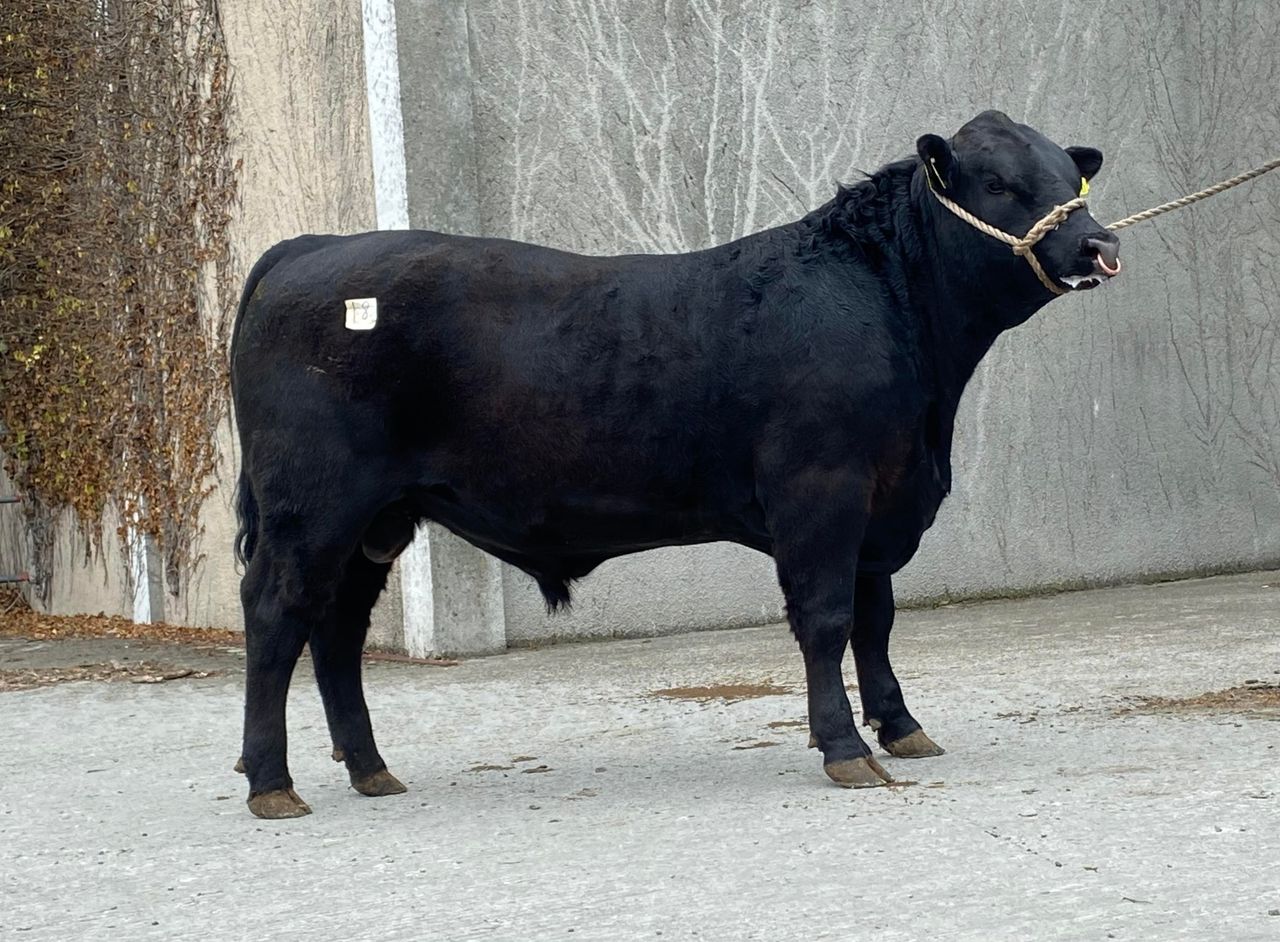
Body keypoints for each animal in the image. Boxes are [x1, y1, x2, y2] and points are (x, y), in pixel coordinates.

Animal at [230, 110, 1121, 818]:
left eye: (1072, 176)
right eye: (999, 181)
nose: (1098, 241)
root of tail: (314, 246)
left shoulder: (883, 500)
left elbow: (876, 619)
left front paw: (902, 728)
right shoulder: (823, 490)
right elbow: (827, 619)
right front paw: (844, 747)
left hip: (376, 519)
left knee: (338, 628)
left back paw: (371, 769)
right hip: (312, 506)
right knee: (277, 614)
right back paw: (272, 783)